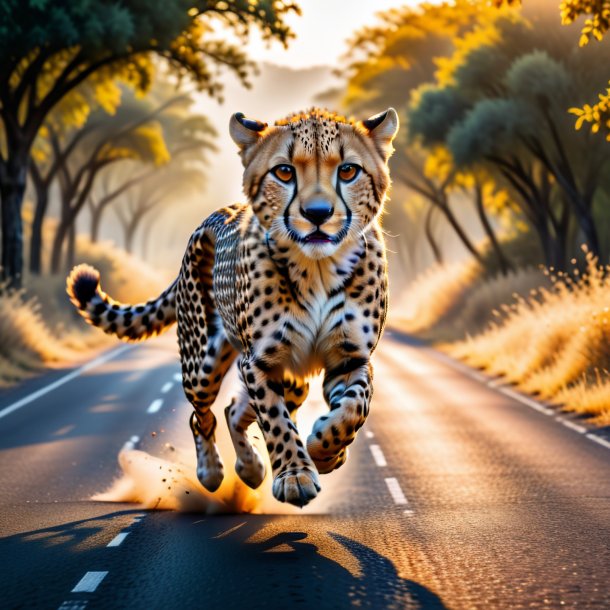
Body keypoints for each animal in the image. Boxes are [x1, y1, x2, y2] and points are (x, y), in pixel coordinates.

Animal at [67, 107, 400, 506]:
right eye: (284, 172)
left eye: (348, 170)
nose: (317, 213)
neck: (317, 267)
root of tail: (213, 216)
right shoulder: (260, 361)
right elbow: (275, 421)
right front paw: (295, 474)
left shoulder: (350, 357)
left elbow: (353, 408)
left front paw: (325, 450)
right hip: (203, 365)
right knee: (203, 415)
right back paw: (213, 473)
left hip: (291, 378)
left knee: (234, 409)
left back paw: (251, 468)